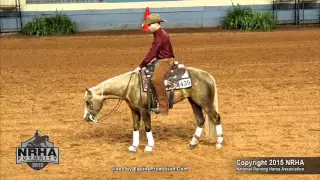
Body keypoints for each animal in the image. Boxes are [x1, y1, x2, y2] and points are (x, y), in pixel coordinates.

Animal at [82, 67, 224, 153]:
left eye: (88, 102)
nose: (86, 118)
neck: (131, 86)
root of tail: (207, 75)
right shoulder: (134, 110)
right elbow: (135, 127)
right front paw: (134, 146)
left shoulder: (145, 110)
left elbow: (147, 127)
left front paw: (149, 146)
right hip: (194, 102)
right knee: (200, 120)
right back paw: (192, 144)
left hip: (205, 103)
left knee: (216, 118)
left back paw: (219, 143)